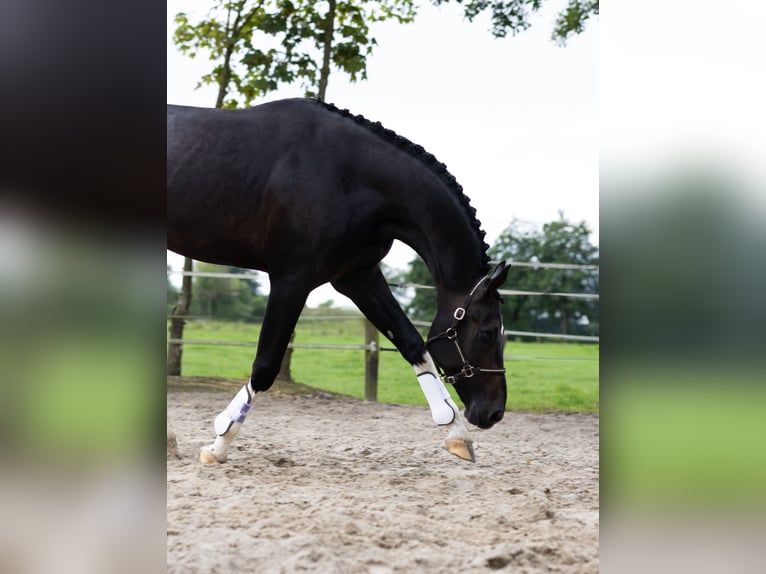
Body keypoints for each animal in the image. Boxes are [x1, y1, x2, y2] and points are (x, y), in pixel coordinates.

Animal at [171, 99, 512, 466]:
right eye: (487, 332)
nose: (494, 412)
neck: (346, 176)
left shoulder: (357, 277)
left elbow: (413, 344)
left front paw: (457, 435)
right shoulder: (291, 281)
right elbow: (264, 366)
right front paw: (218, 446)